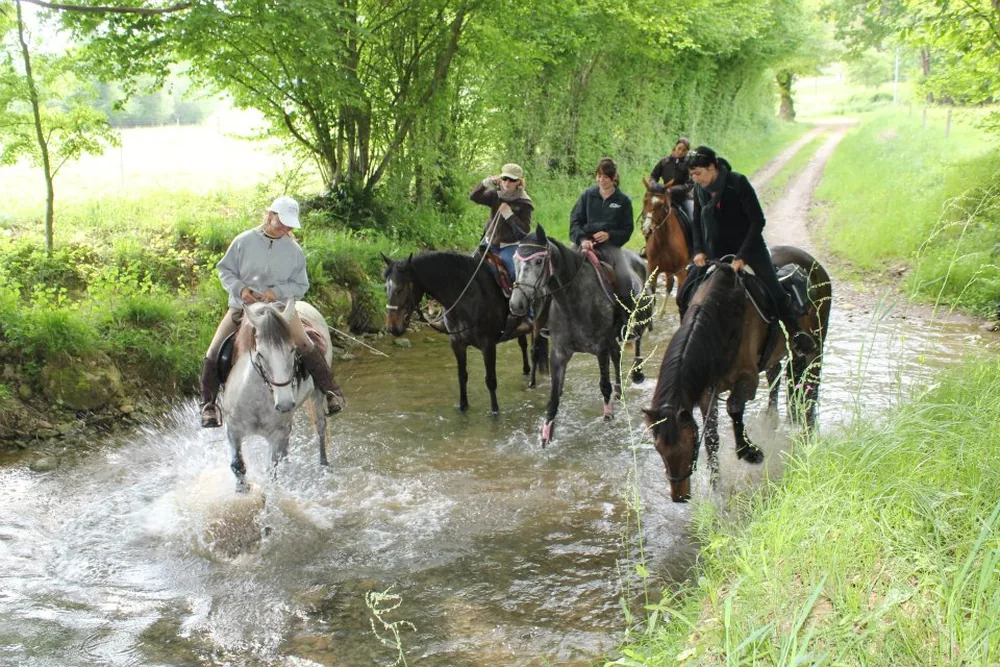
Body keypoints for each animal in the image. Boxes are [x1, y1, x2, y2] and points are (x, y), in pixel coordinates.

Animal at [221, 299, 335, 492]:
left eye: (293, 350)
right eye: (260, 353)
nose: (285, 403)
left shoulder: (276, 434)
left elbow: (271, 470)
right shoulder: (233, 430)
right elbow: (237, 465)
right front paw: (241, 491)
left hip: (317, 395)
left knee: (320, 425)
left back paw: (323, 464)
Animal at [382, 251, 548, 414]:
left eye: (400, 289)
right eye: (385, 288)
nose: (392, 327)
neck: (468, 297)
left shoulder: (488, 344)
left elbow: (491, 380)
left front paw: (495, 412)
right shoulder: (457, 343)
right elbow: (462, 377)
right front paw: (463, 407)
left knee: (535, 351)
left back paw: (532, 383)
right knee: (523, 345)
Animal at [509, 224, 653, 446]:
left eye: (539, 261)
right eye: (514, 261)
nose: (516, 305)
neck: (572, 301)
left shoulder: (600, 349)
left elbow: (604, 385)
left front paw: (608, 418)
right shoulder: (559, 354)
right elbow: (554, 397)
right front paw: (546, 435)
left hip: (635, 322)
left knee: (635, 343)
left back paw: (637, 375)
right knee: (617, 356)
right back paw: (620, 390)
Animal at [640, 176, 690, 304]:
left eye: (661, 204)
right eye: (645, 200)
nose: (647, 228)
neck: (664, 240)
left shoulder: (681, 272)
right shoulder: (653, 270)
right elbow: (652, 297)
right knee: (669, 285)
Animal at [644, 246, 832, 502]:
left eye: (688, 444)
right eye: (659, 448)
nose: (679, 496)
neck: (720, 322)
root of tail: (812, 262)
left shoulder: (747, 379)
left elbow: (733, 407)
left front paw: (750, 452)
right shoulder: (706, 393)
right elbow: (711, 440)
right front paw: (716, 489)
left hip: (816, 345)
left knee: (811, 385)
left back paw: (806, 433)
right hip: (777, 354)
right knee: (778, 376)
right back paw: (774, 419)